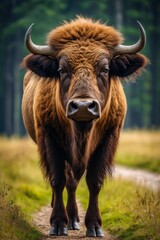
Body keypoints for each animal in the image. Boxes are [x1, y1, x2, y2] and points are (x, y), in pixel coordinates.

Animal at [21, 17, 148, 238]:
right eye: (62, 69)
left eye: (105, 69)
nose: (82, 106)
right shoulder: (49, 138)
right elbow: (57, 180)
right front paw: (58, 224)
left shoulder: (108, 139)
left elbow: (94, 181)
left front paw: (94, 226)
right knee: (67, 181)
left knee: (73, 182)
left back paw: (74, 220)